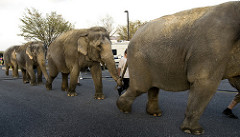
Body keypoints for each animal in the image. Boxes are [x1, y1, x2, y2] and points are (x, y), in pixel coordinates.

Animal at [117, 1, 240, 135]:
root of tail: (131, 39)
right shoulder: (213, 47)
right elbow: (205, 83)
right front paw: (195, 132)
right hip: (139, 61)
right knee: (140, 87)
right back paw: (123, 109)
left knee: (153, 87)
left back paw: (154, 113)